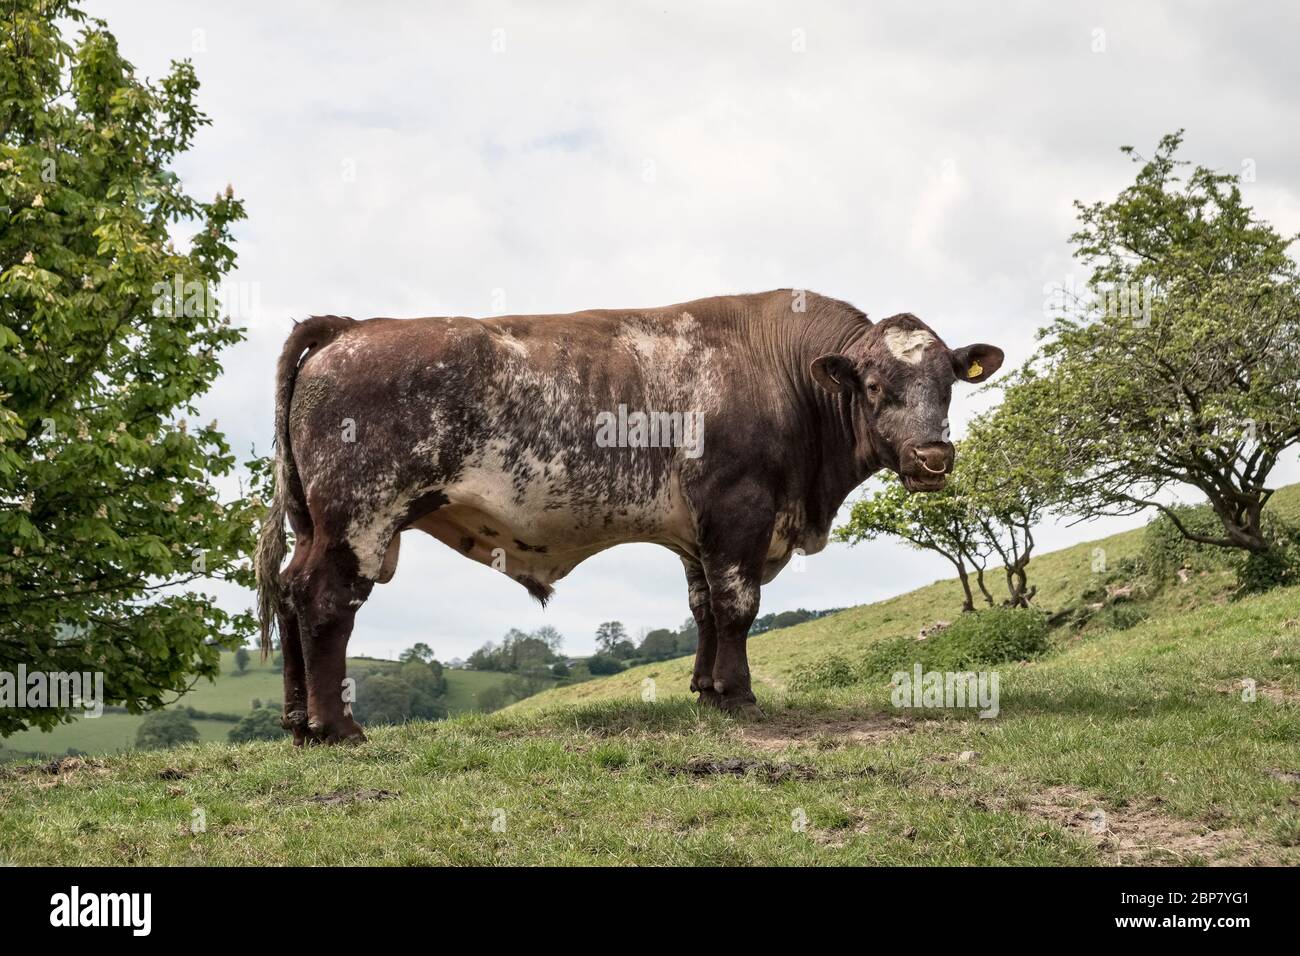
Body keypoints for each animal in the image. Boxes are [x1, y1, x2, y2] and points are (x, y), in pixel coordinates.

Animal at [256, 287, 1003, 743]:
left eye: (946, 384)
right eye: (874, 386)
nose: (932, 457)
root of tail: (352, 328)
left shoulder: (698, 532)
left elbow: (705, 607)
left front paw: (705, 688)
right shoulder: (739, 509)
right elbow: (738, 604)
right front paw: (738, 695)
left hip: (315, 524)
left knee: (289, 594)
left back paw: (297, 723)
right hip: (358, 517)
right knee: (324, 601)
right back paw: (337, 728)